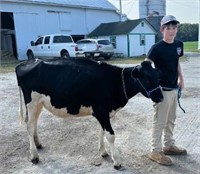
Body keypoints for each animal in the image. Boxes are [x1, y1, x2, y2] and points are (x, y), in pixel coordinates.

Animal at [15, 57, 162, 169]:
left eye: (157, 77)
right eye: (147, 79)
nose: (161, 97)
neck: (113, 81)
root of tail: (25, 63)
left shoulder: (103, 112)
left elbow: (101, 131)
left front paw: (103, 152)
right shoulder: (101, 110)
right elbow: (110, 135)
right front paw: (117, 162)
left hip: (39, 103)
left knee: (34, 123)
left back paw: (38, 144)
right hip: (31, 101)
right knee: (29, 126)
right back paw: (34, 156)